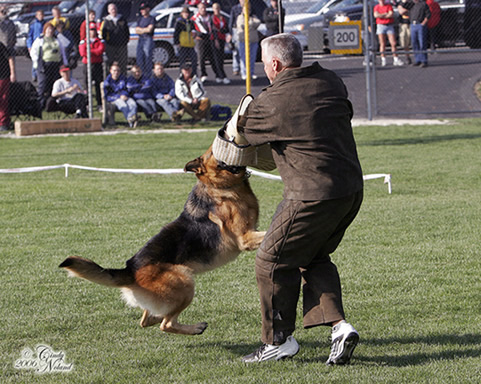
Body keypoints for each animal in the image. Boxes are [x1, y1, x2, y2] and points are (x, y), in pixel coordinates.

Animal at [59, 147, 266, 336]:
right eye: (215, 152)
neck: (219, 187)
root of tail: (130, 269)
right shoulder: (245, 238)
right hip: (185, 282)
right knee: (166, 324)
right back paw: (195, 328)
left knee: (147, 319)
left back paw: (160, 316)